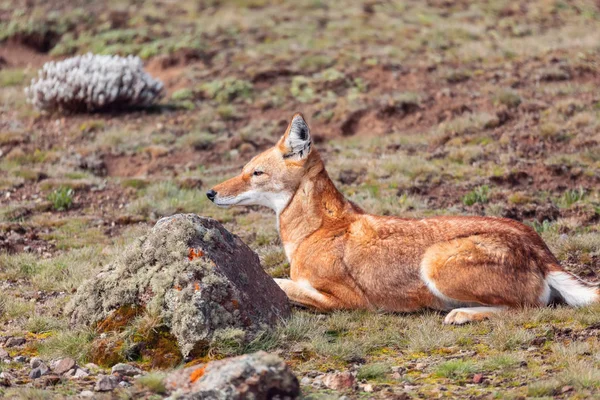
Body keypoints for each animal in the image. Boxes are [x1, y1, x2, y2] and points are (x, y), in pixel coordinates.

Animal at [207, 112, 600, 324]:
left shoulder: (347, 301)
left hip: (435, 263)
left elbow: (280, 283)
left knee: (532, 309)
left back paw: (463, 314)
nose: (210, 193)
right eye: (243, 170)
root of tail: (540, 247)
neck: (313, 230)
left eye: (256, 173)